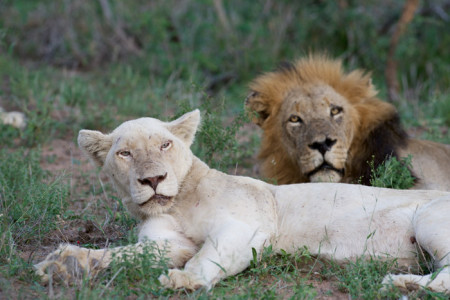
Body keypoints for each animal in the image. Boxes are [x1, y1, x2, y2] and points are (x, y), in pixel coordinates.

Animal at [34, 109, 450, 292]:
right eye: (125, 154)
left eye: (165, 144)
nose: (152, 180)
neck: (178, 202)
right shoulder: (168, 242)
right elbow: (123, 254)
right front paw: (64, 264)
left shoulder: (247, 226)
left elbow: (208, 255)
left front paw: (185, 280)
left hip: (430, 220)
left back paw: (402, 285)